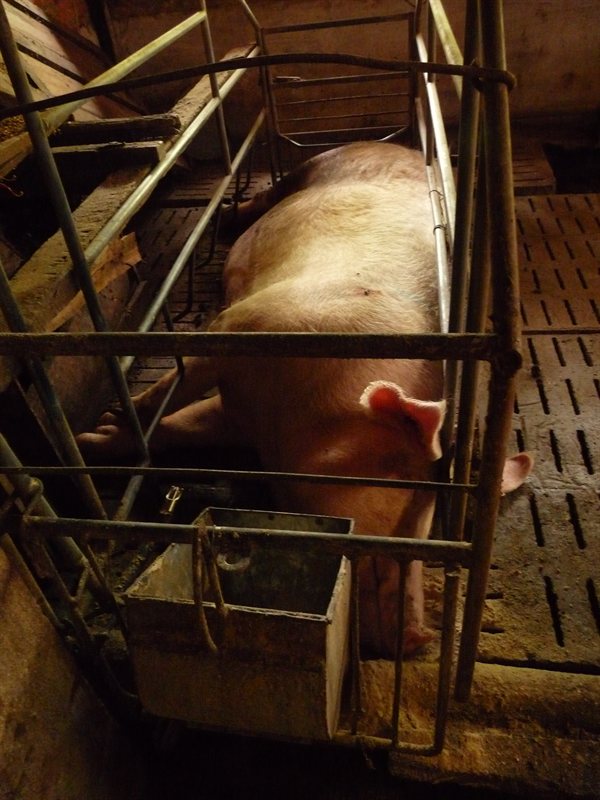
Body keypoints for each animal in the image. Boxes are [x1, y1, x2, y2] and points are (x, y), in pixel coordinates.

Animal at [78, 141, 531, 657]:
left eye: (434, 515)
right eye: (409, 479)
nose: (417, 640)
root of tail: (396, 144)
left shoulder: (238, 418)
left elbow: (179, 429)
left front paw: (95, 436)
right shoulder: (241, 328)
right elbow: (174, 388)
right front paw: (107, 420)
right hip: (311, 168)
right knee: (269, 192)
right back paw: (228, 215)